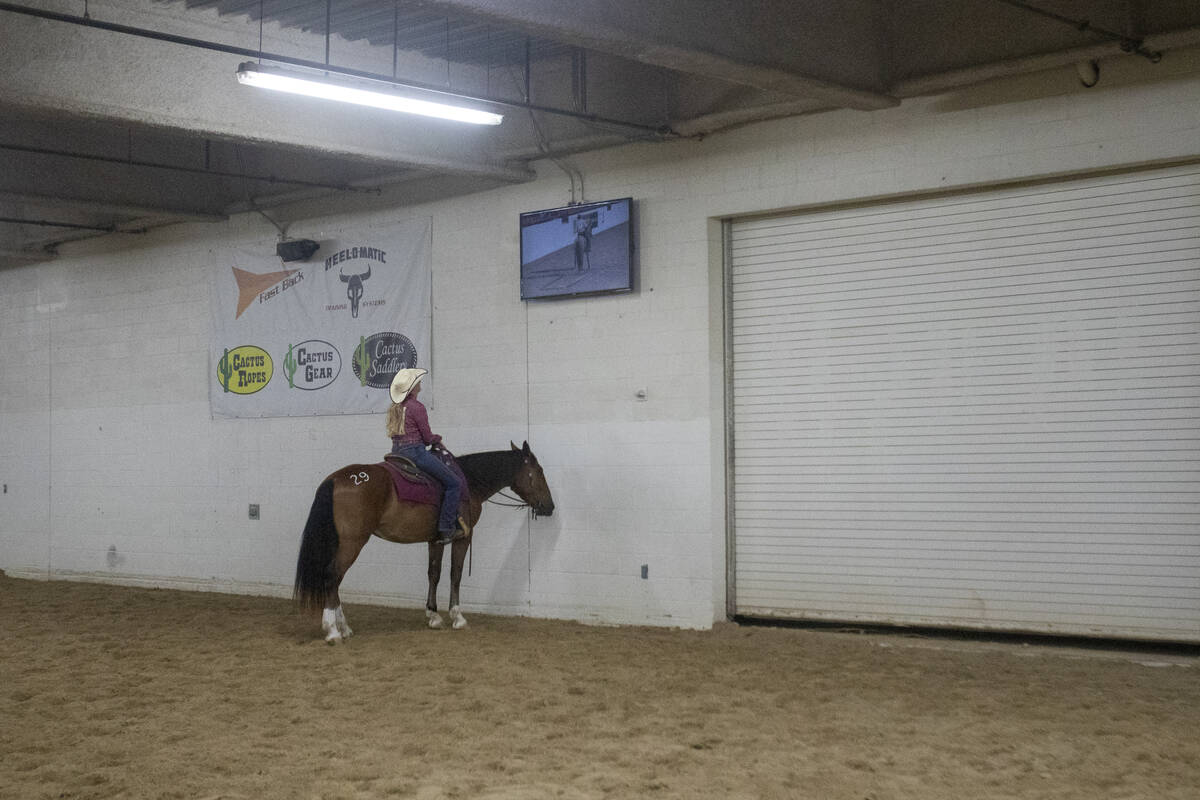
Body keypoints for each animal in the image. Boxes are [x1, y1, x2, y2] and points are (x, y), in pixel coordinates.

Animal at [292, 441, 554, 642]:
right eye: (539, 471)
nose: (550, 507)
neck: (469, 481)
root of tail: (335, 480)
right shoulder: (463, 537)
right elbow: (455, 573)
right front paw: (458, 617)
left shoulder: (435, 540)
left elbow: (434, 574)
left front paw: (433, 616)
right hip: (352, 542)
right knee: (332, 577)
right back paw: (333, 631)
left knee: (334, 581)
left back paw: (344, 628)